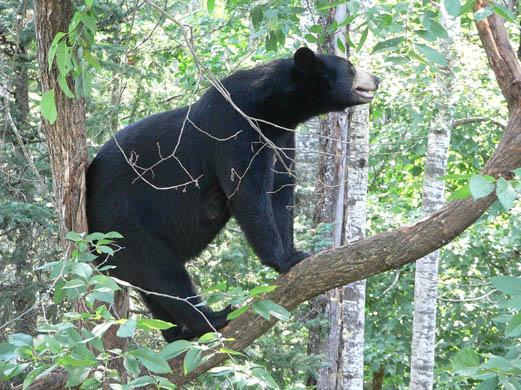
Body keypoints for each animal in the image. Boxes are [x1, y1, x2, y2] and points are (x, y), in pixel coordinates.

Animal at [86, 48, 378, 342]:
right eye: (350, 67)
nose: (375, 79)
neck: (273, 110)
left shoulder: (281, 137)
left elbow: (281, 191)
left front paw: (293, 251)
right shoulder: (233, 127)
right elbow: (248, 192)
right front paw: (283, 259)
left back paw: (177, 335)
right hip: (122, 224)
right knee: (163, 274)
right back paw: (211, 319)